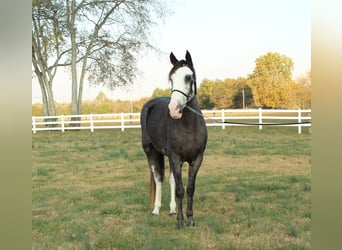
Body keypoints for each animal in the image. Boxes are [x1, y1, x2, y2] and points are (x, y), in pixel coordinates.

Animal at [140, 50, 208, 229]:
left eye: (189, 77)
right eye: (171, 78)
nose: (174, 110)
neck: (189, 127)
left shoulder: (196, 160)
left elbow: (189, 188)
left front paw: (190, 219)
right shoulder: (176, 158)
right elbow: (179, 190)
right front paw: (180, 222)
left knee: (170, 180)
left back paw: (171, 210)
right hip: (151, 152)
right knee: (158, 178)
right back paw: (156, 209)